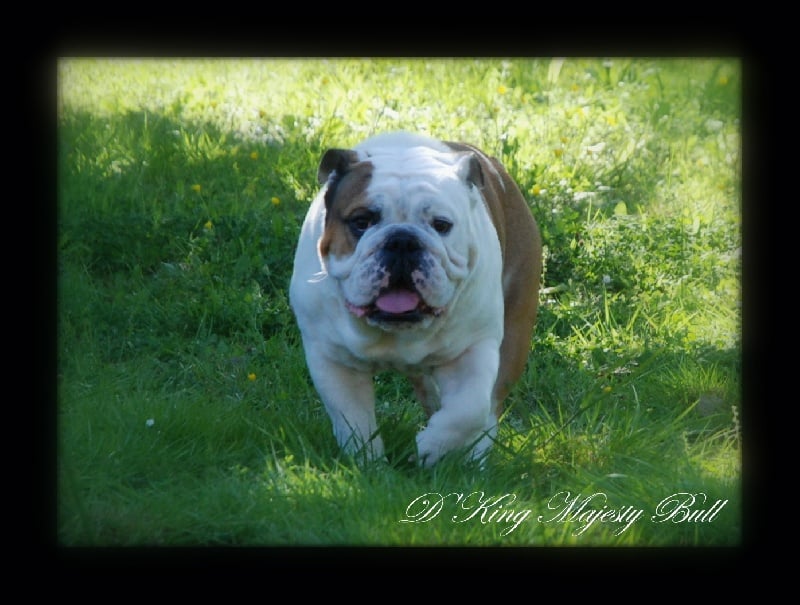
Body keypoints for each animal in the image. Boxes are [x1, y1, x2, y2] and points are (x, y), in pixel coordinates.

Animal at [289, 132, 542, 466]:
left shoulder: (474, 349)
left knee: (488, 409)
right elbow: (353, 419)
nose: (402, 240)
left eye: (441, 225)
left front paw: (431, 446)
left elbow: (469, 409)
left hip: (515, 332)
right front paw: (368, 464)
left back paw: (473, 458)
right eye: (361, 221)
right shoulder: (332, 358)